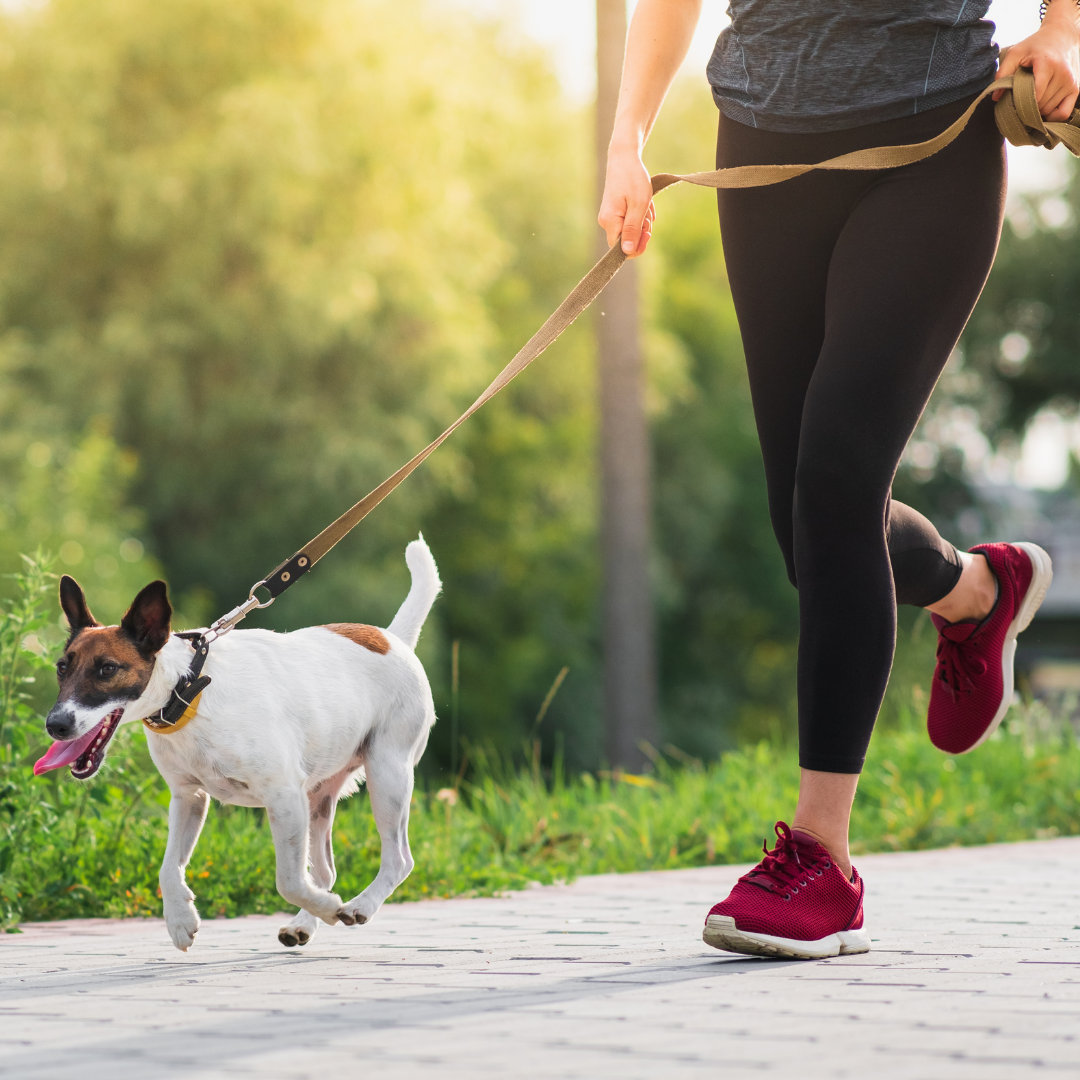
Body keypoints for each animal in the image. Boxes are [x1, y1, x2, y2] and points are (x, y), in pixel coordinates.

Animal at [36, 535, 442, 950]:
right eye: (62, 668)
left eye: (107, 669)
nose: (55, 725)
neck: (190, 691)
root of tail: (393, 638)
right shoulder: (188, 797)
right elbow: (168, 868)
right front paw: (180, 919)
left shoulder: (283, 795)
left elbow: (289, 880)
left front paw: (329, 908)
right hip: (319, 797)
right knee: (325, 871)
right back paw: (305, 923)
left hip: (387, 772)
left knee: (398, 859)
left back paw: (357, 905)